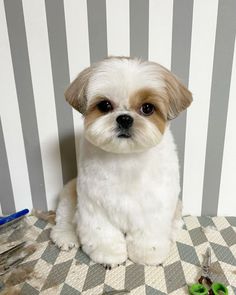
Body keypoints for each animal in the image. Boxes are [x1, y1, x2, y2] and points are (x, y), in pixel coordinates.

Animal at [50, 56, 192, 270]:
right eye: (105, 106)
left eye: (147, 108)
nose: (124, 118)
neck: (126, 158)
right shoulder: (94, 205)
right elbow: (103, 233)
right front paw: (108, 256)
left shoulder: (155, 205)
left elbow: (149, 236)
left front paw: (148, 256)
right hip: (69, 191)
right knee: (64, 218)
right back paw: (65, 236)